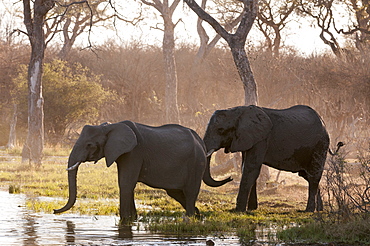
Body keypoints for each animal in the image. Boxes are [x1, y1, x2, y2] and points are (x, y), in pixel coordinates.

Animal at [53, 120, 231, 222]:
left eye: (89, 145)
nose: (55, 211)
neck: (110, 126)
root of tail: (201, 142)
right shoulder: (123, 154)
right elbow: (127, 184)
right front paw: (133, 219)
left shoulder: (134, 152)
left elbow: (125, 183)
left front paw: (126, 220)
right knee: (176, 192)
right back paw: (197, 215)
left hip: (196, 163)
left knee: (190, 191)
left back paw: (190, 218)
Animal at [204, 104, 334, 212]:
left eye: (221, 130)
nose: (230, 178)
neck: (237, 111)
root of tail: (323, 123)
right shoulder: (248, 139)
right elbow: (246, 168)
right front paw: (252, 209)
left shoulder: (261, 139)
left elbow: (251, 169)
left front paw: (238, 210)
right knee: (307, 175)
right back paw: (319, 210)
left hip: (320, 145)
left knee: (313, 176)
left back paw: (308, 210)